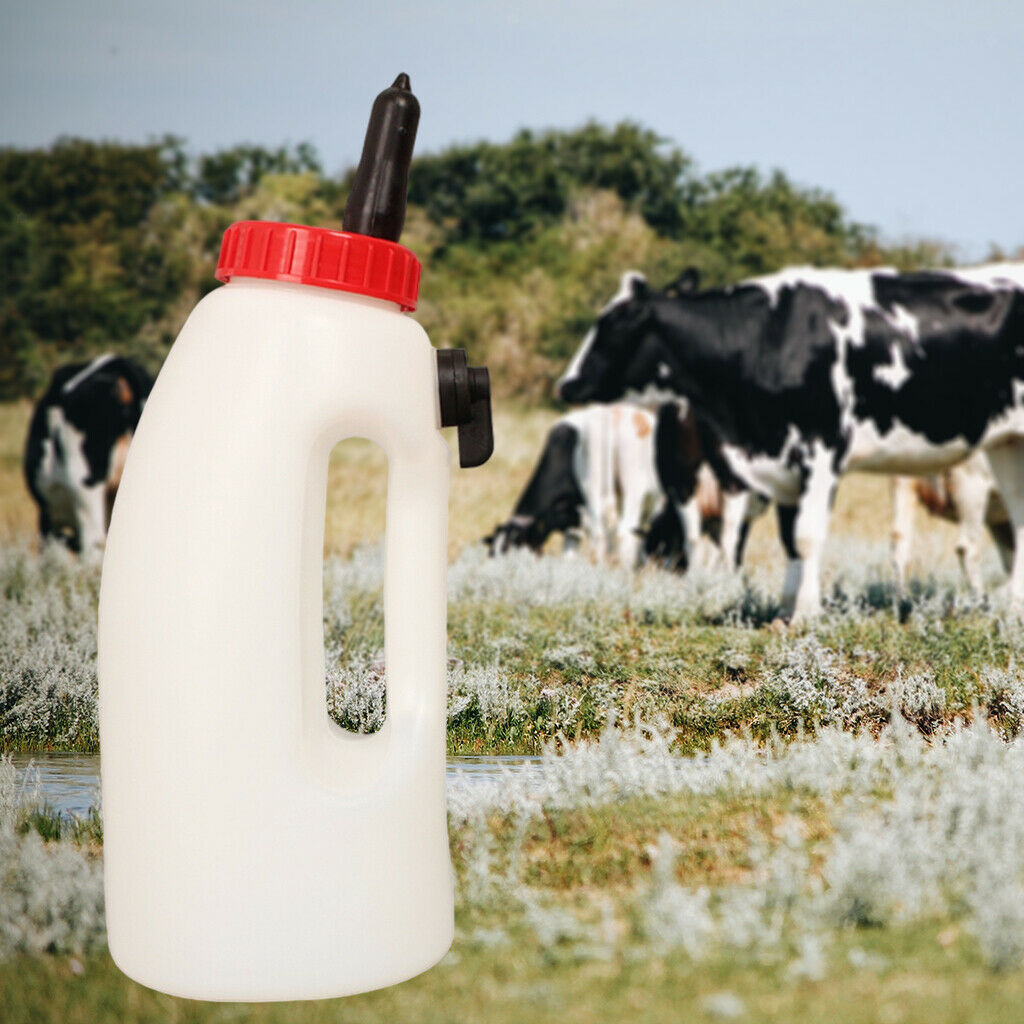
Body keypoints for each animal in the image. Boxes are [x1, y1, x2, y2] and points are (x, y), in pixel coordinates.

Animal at [891, 453, 1012, 596]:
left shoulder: (1000, 521)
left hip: (905, 490)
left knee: (899, 544)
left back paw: (902, 599)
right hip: (973, 493)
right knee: (966, 549)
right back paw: (980, 598)